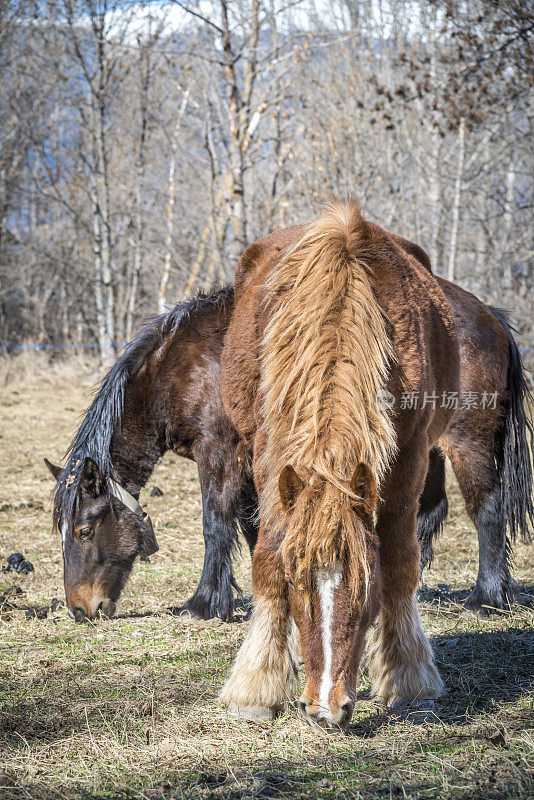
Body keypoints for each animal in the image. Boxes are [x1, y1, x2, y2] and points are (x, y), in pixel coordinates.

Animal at [45, 290, 258, 624]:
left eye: (84, 531)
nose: (78, 611)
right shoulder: (244, 460)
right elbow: (252, 528)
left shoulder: (219, 450)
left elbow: (215, 524)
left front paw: (202, 604)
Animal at [220, 202, 532, 732]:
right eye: (298, 584)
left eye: (367, 587)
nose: (326, 710)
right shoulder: (271, 457)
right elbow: (267, 560)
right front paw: (255, 687)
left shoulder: (407, 456)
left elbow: (401, 562)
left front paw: (409, 681)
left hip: (463, 440)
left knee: (483, 508)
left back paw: (487, 596)